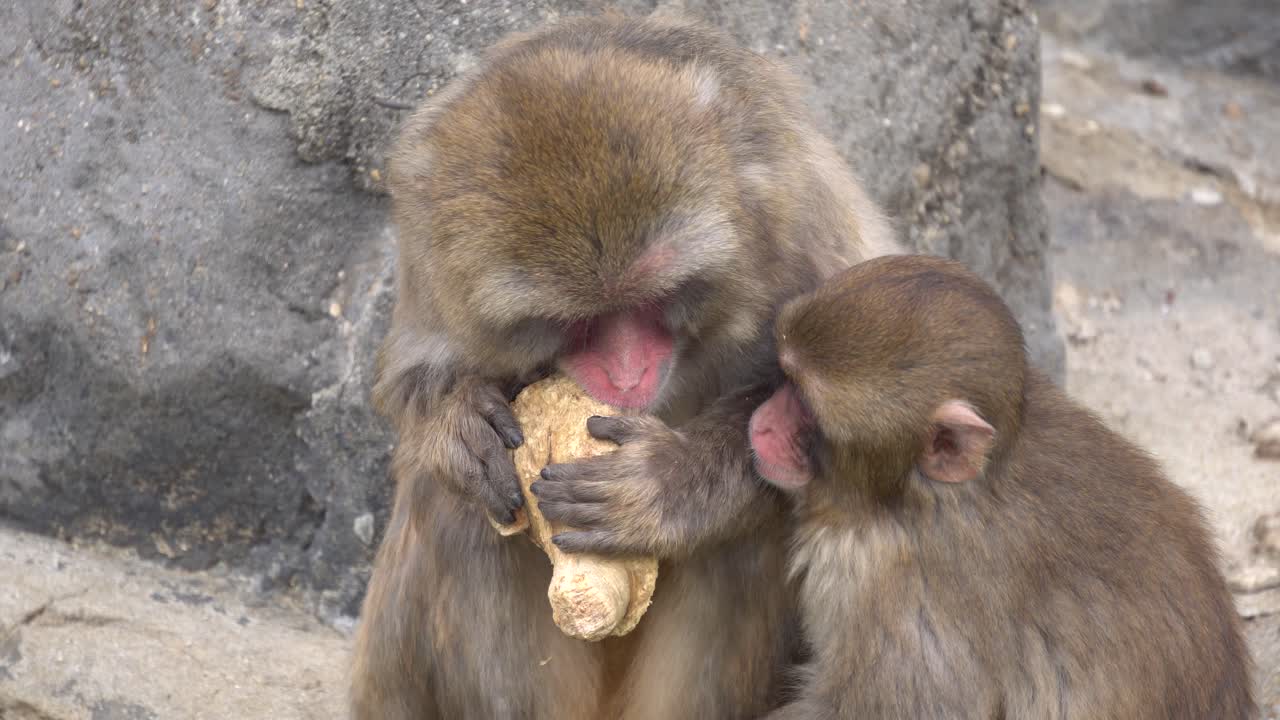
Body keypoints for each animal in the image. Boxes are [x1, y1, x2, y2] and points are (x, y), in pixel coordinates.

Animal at [349, 10, 900, 720]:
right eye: (576, 320)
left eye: (652, 299)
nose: (627, 374)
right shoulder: (427, 253)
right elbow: (410, 379)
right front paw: (457, 426)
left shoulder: (798, 206)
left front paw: (669, 482)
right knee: (463, 510)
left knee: (749, 534)